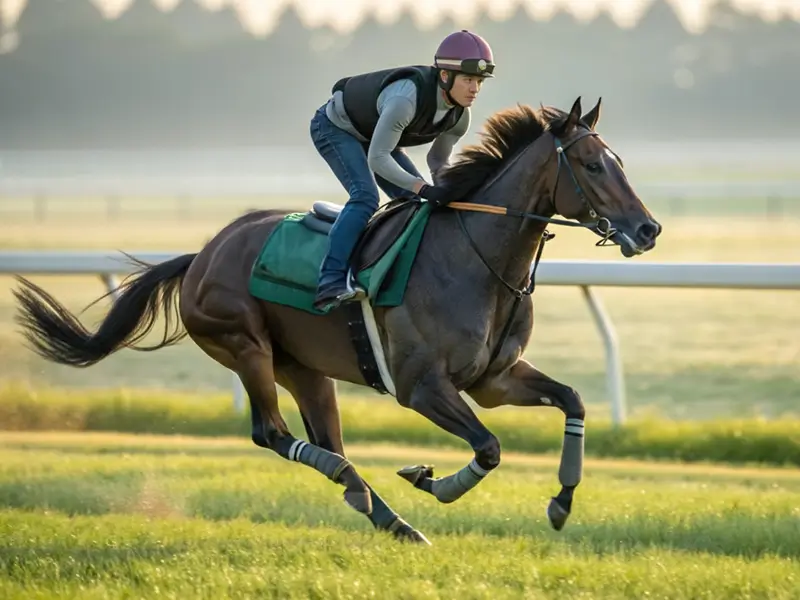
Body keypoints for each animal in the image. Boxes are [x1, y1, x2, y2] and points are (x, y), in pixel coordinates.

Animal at [12, 96, 661, 545]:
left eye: (618, 161)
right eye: (590, 164)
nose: (648, 228)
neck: (474, 257)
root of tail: (201, 254)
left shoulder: (493, 380)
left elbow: (572, 400)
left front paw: (562, 501)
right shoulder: (422, 386)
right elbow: (490, 446)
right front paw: (430, 478)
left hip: (306, 369)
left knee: (322, 436)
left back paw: (390, 518)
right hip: (245, 344)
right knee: (274, 434)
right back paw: (354, 484)